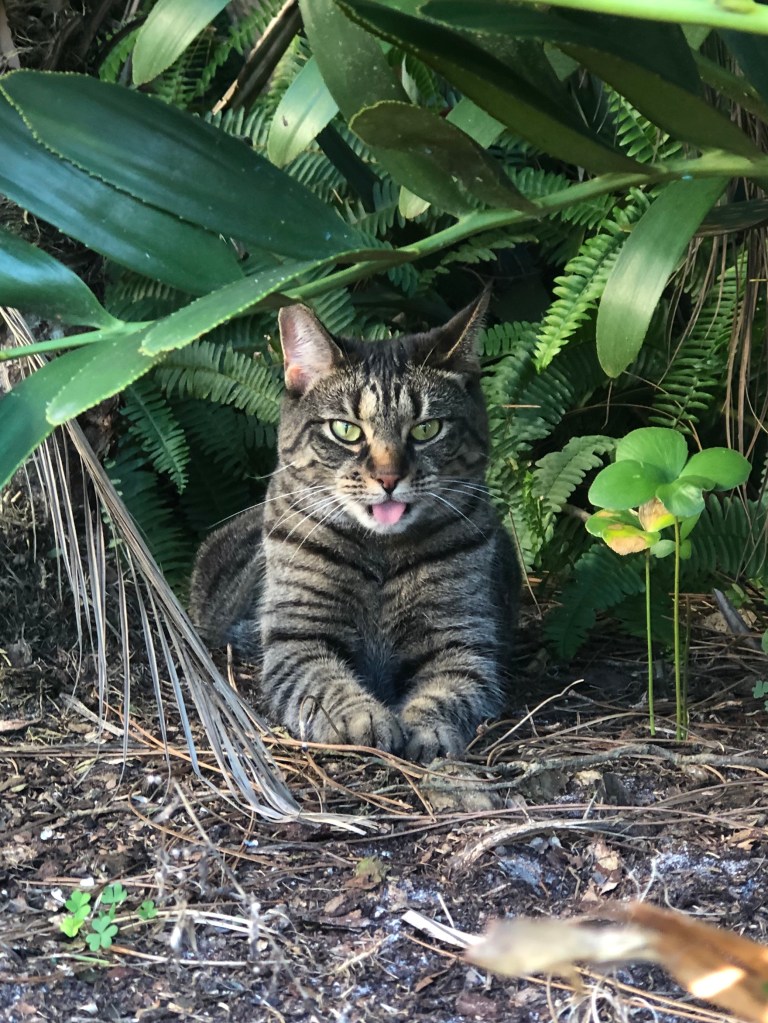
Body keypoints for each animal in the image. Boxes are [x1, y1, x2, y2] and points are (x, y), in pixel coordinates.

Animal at [189, 292, 520, 762]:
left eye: (427, 429)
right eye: (346, 430)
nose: (388, 478)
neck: (381, 554)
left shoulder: (461, 637)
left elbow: (450, 690)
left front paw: (427, 729)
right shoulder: (299, 635)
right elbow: (327, 684)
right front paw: (364, 717)